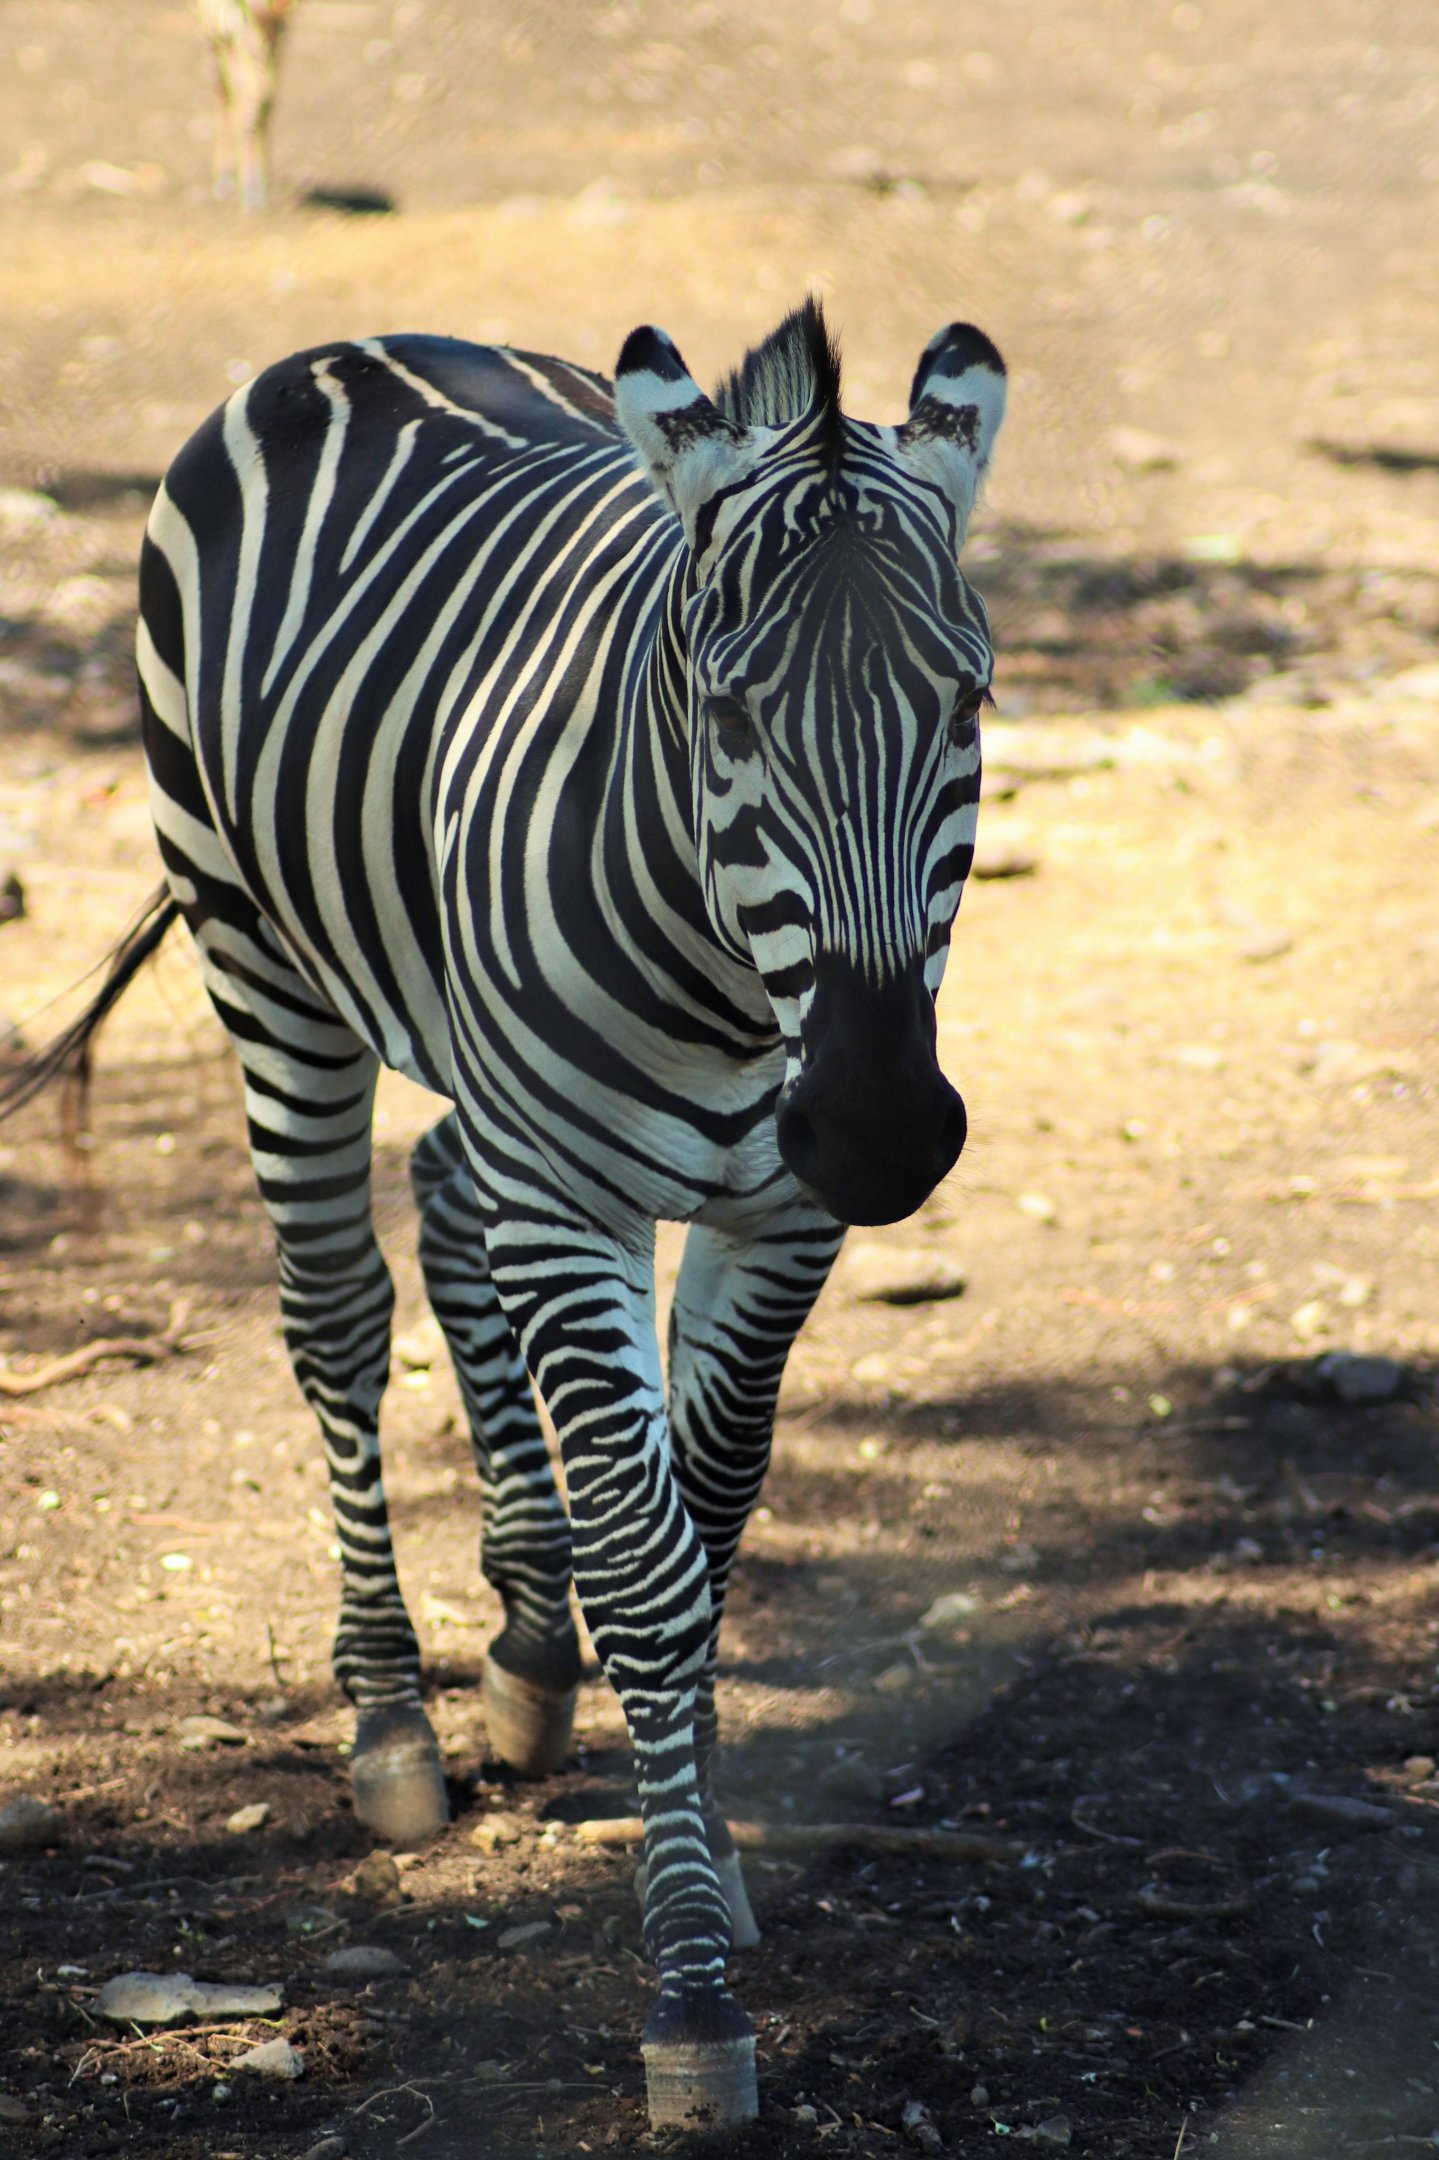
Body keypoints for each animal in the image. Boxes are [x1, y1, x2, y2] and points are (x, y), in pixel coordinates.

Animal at [2, 299, 1005, 2125]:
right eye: (726, 714)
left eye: (963, 701)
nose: (882, 1127)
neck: (732, 994)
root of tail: (361, 342)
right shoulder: (574, 1200)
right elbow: (652, 1563)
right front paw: (688, 1993)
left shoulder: (779, 1220)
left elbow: (709, 1521)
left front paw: (700, 1849)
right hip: (257, 959)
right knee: (336, 1313)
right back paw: (392, 1721)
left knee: (442, 1196)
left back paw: (527, 1658)